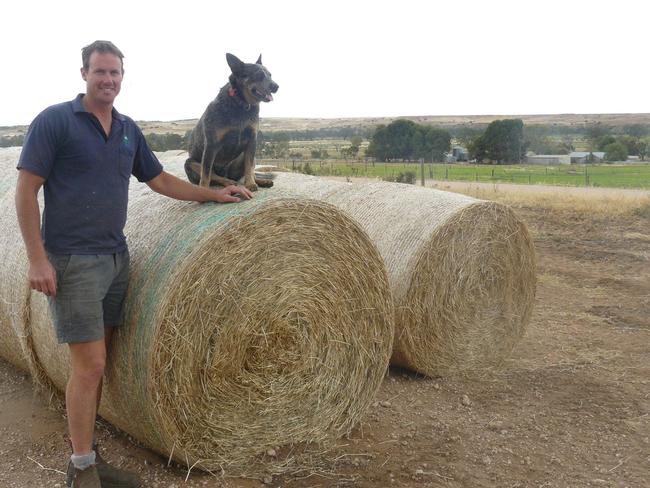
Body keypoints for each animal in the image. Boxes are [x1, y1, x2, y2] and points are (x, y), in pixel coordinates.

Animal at [186, 53, 280, 191]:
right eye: (258, 75)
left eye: (270, 75)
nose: (276, 86)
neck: (241, 104)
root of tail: (226, 173)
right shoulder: (211, 146)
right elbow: (206, 174)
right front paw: (203, 190)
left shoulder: (252, 141)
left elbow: (249, 167)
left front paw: (251, 183)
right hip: (190, 163)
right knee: (215, 177)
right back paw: (228, 182)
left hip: (243, 157)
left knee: (245, 173)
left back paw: (260, 181)